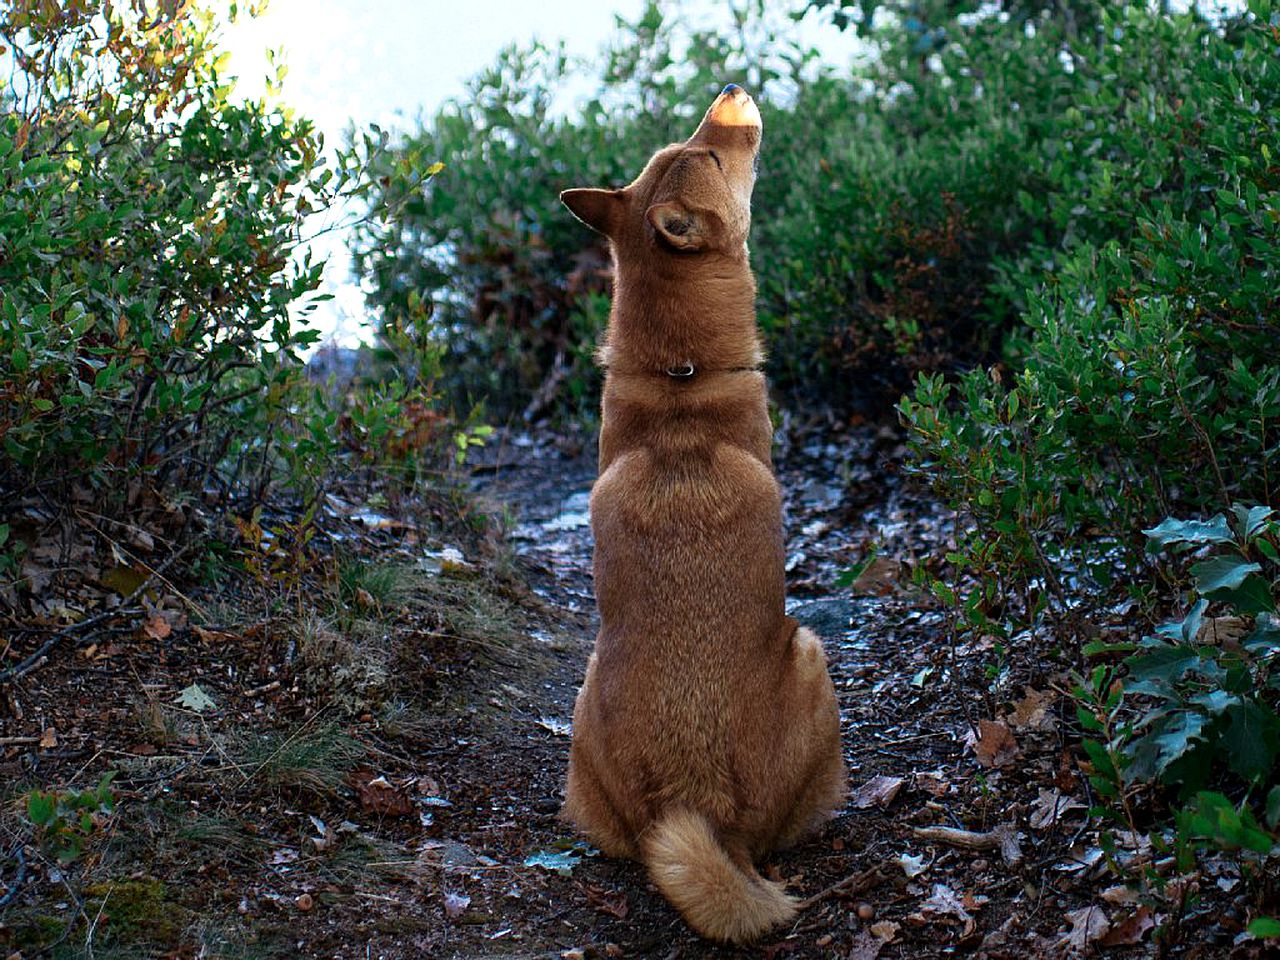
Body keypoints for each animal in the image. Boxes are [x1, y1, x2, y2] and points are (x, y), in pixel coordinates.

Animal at [555, 86, 844, 942]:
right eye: (713, 153)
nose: (728, 89)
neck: (680, 380)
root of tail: (696, 803)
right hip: (812, 654)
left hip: (583, 698)